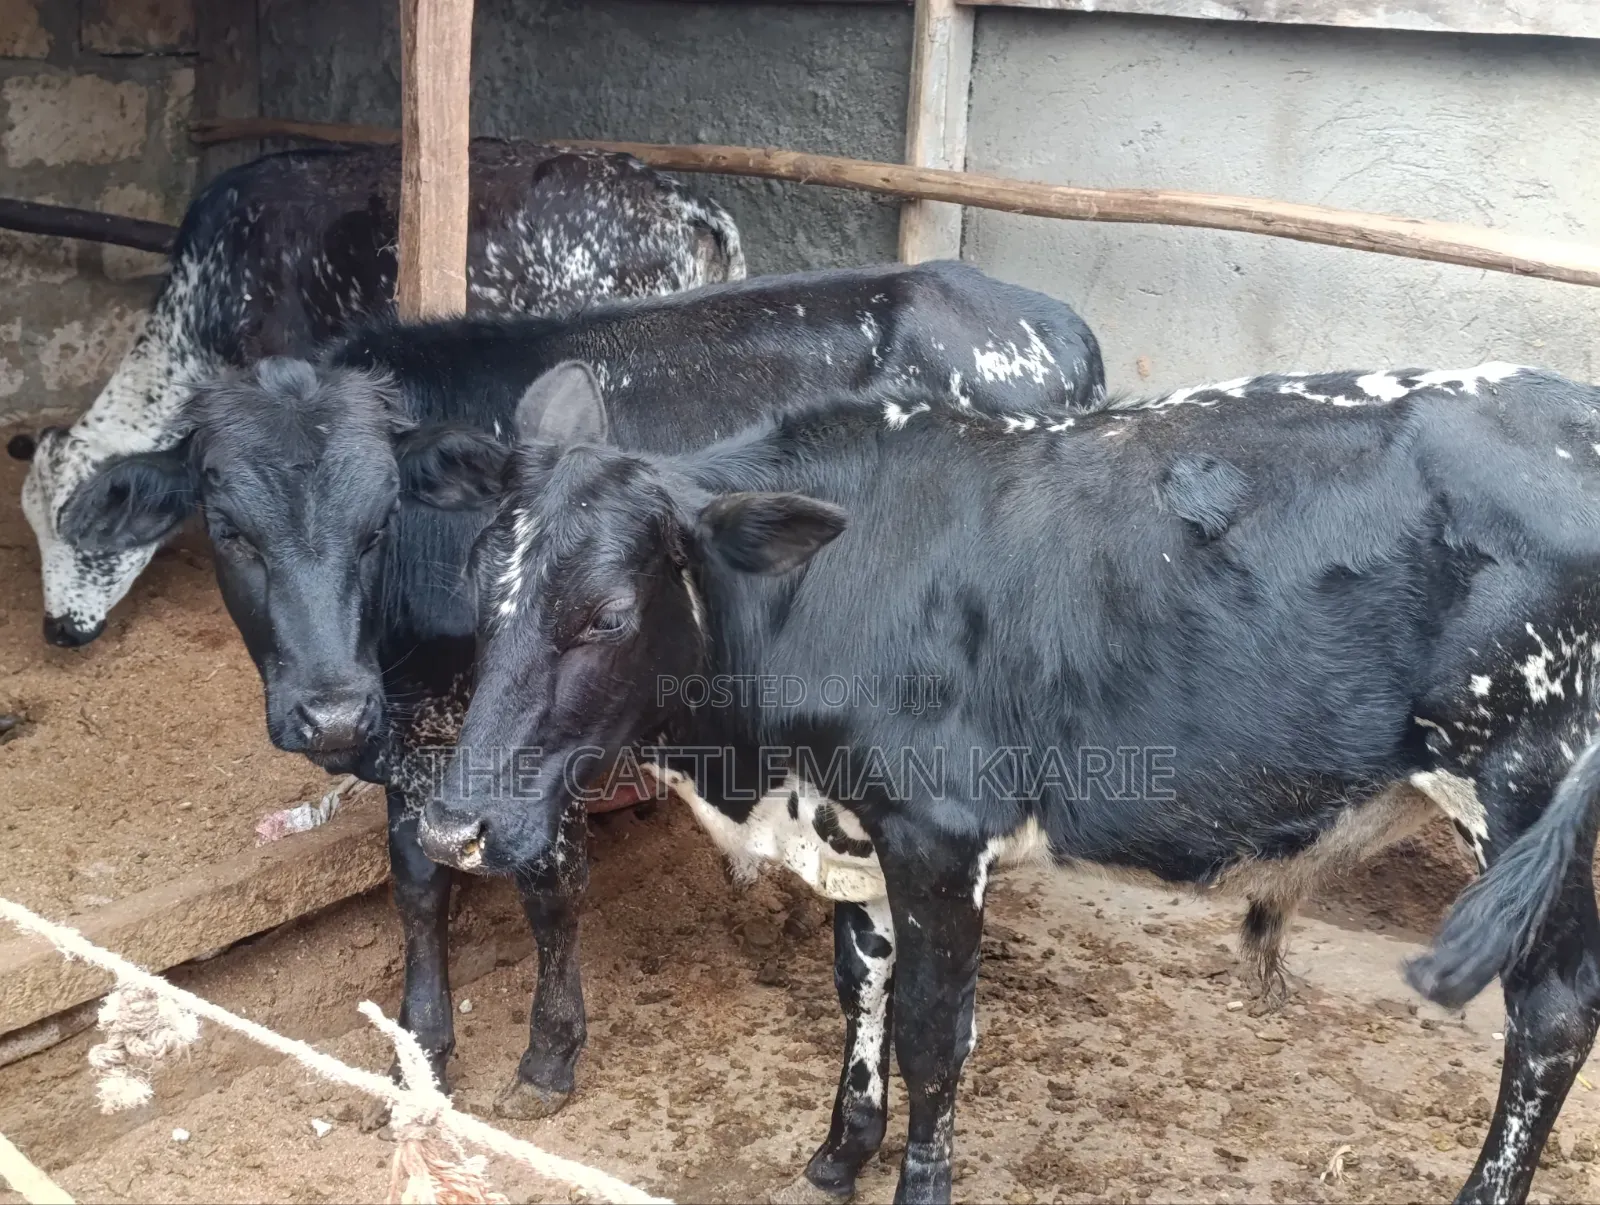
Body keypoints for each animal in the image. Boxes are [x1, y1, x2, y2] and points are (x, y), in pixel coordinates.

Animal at [58, 260, 1105, 1125]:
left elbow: (548, 885)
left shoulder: (537, 741)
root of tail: (1045, 318)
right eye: (229, 527)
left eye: (378, 519)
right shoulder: (421, 745)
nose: (331, 711)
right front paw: (420, 1053)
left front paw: (547, 1057)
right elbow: (417, 882)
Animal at [413, 363, 1600, 1205]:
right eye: (475, 584)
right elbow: (862, 988)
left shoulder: (940, 830)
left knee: (1551, 1018)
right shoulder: (860, 824)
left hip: (1523, 786)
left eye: (608, 614)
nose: (454, 824)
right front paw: (839, 1152)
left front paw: (913, 1180)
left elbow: (936, 1032)